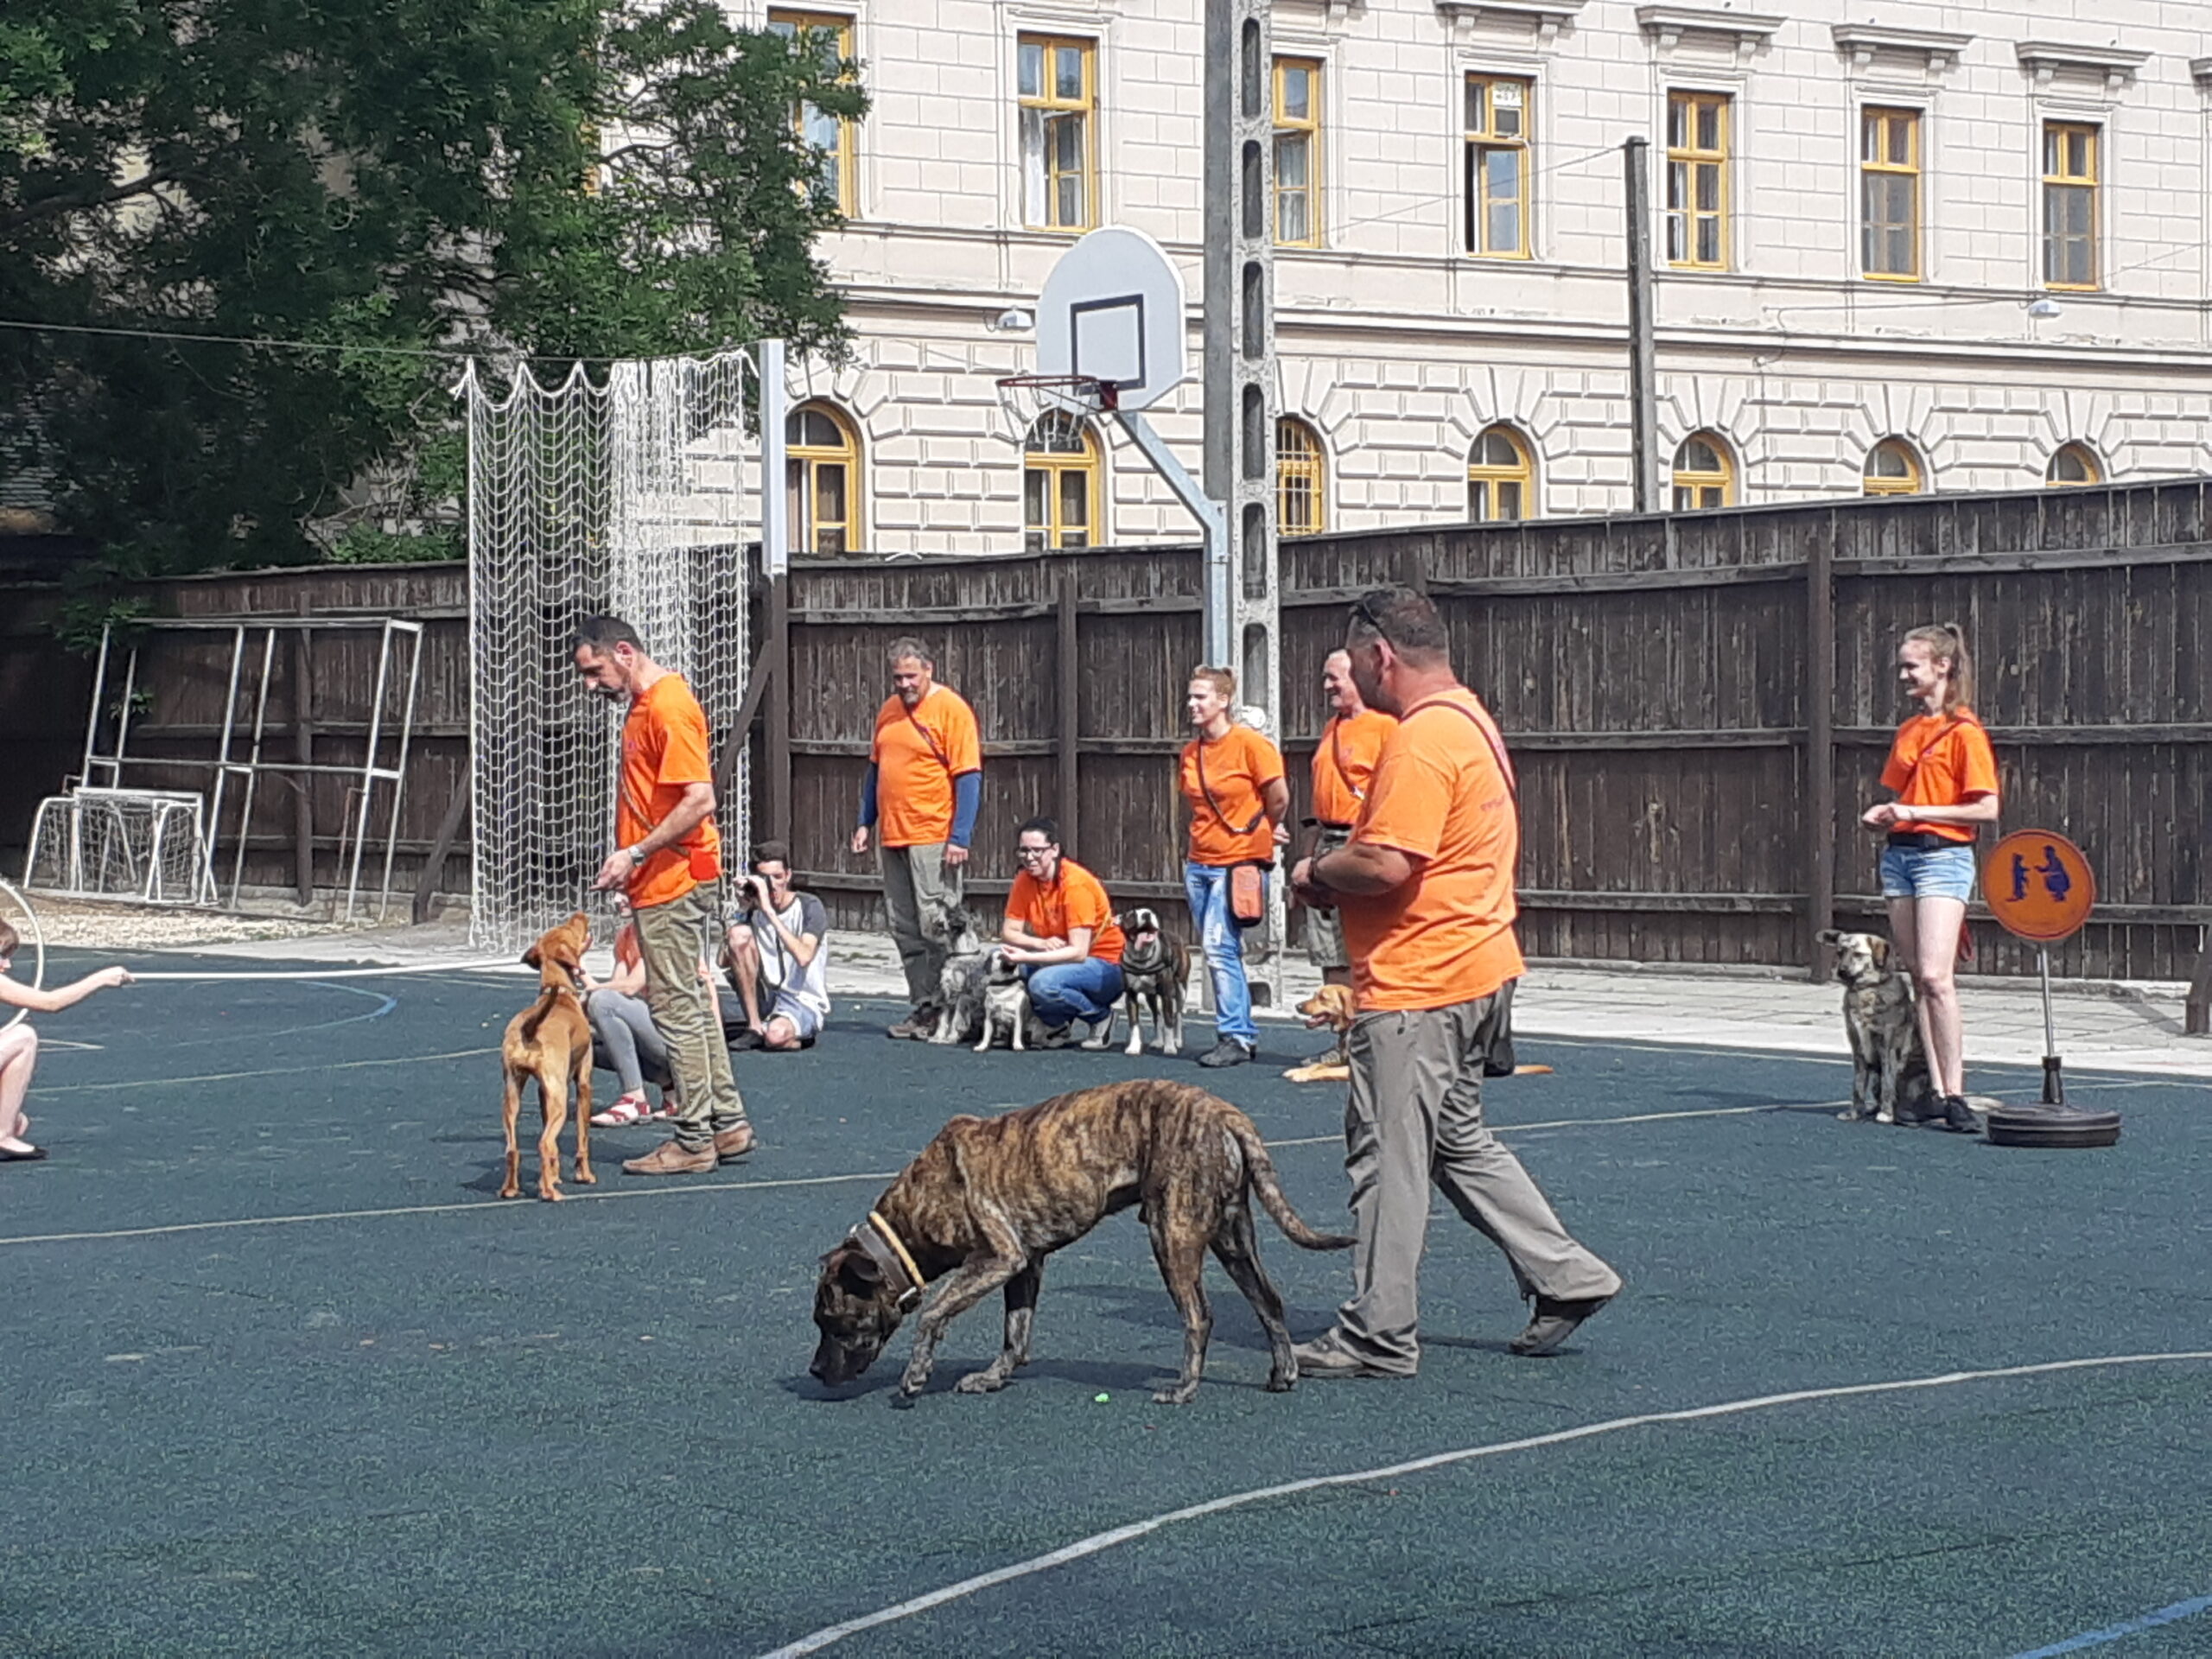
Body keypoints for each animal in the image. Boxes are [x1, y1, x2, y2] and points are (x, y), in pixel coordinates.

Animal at [502, 915, 601, 1203]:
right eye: (569, 928)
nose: (580, 913)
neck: (557, 993)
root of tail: (529, 1029)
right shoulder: (582, 1083)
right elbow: (582, 1138)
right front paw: (584, 1176)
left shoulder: (541, 1091)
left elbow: (556, 1147)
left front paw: (553, 1174)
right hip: (559, 1096)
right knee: (544, 1143)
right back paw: (550, 1193)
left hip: (512, 1094)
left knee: (513, 1148)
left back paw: (511, 1189)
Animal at [804, 1084, 1353, 1407]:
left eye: (833, 1321)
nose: (813, 1370)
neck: (908, 1222)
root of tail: (1226, 1114)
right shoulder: (1024, 1266)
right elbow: (1016, 1334)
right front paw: (994, 1376)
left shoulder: (997, 1258)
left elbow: (934, 1313)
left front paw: (917, 1374)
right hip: (1232, 1238)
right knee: (1269, 1301)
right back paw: (1283, 1372)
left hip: (1171, 1234)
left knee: (1199, 1316)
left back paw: (1184, 1387)